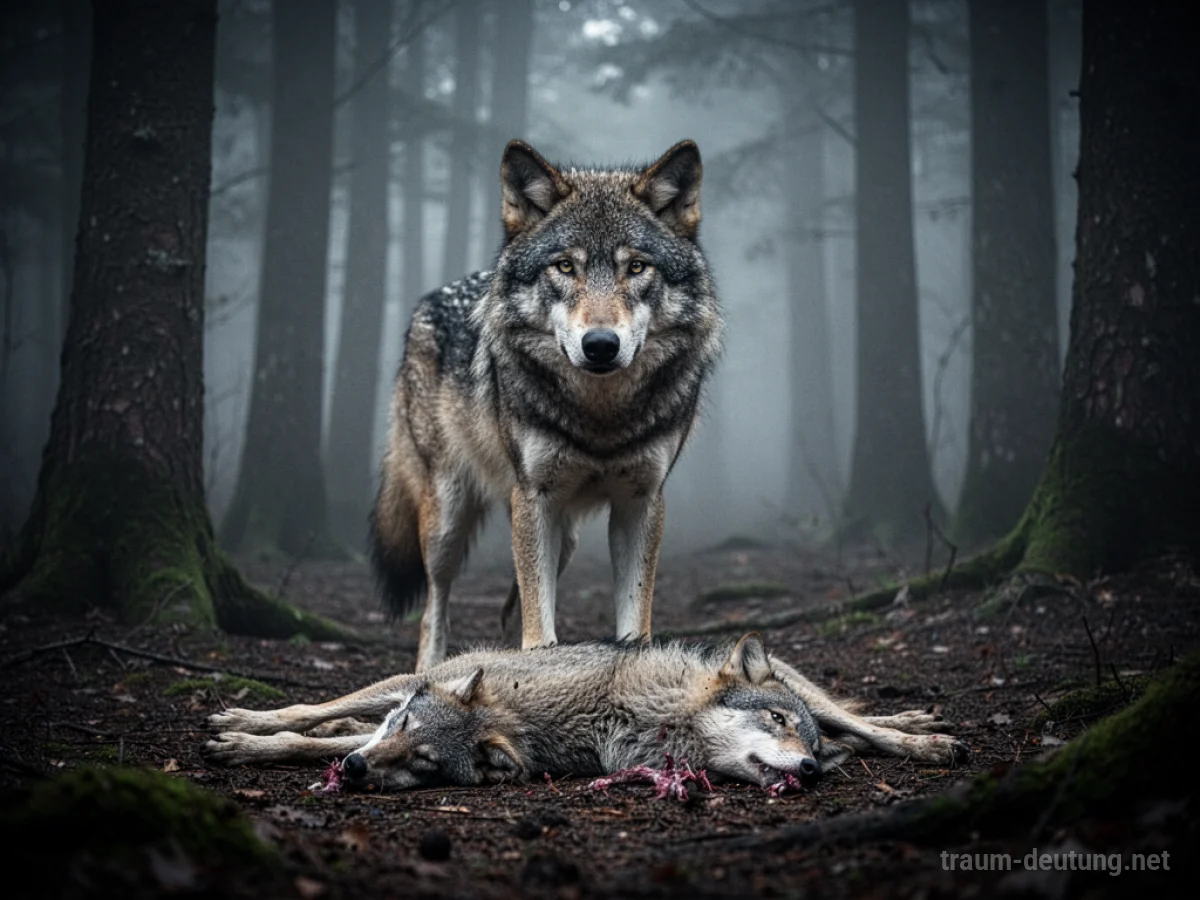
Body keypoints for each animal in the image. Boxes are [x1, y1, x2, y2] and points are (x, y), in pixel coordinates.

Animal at [371, 139, 723, 672]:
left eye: (636, 267)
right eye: (565, 266)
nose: (601, 345)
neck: (601, 418)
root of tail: (423, 306)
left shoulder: (641, 501)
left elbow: (632, 616)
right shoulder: (533, 495)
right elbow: (538, 622)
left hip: (562, 533)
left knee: (517, 604)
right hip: (448, 517)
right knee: (435, 605)